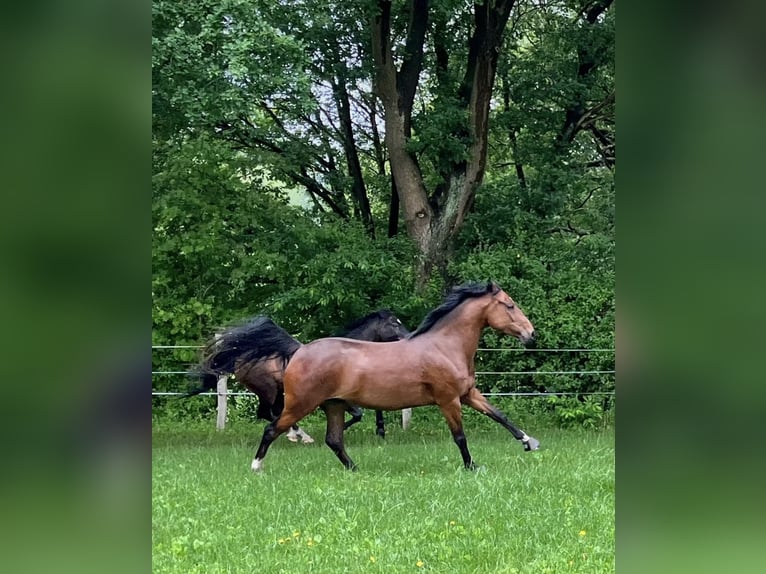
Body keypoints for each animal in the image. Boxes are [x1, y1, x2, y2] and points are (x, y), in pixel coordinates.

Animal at [187, 310, 409, 443]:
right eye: (394, 323)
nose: (408, 336)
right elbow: (358, 414)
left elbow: (362, 414)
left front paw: (378, 431)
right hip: (269, 391)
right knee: (268, 413)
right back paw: (299, 435)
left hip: (274, 393)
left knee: (269, 413)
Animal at [250, 281, 540, 472]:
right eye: (510, 305)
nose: (531, 334)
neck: (445, 347)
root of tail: (299, 350)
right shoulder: (448, 400)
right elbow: (460, 436)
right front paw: (472, 466)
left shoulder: (468, 394)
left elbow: (500, 415)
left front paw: (530, 442)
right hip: (301, 404)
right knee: (272, 428)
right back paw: (256, 466)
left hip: (334, 405)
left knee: (333, 440)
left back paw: (356, 469)